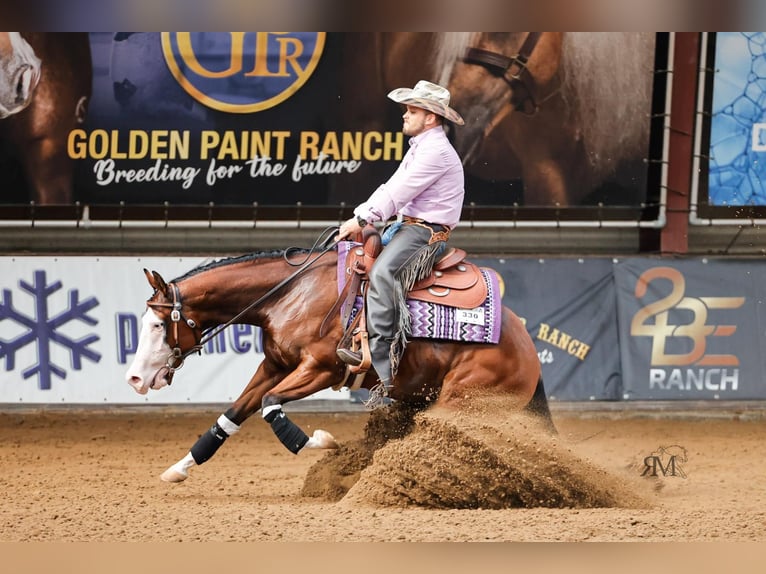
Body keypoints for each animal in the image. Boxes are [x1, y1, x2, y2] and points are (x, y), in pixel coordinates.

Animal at [125, 240, 553, 483]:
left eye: (159, 324)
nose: (134, 379)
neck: (292, 293)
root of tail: (526, 348)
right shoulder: (274, 366)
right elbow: (230, 416)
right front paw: (181, 467)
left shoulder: (320, 369)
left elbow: (270, 406)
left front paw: (319, 443)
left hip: (463, 402)